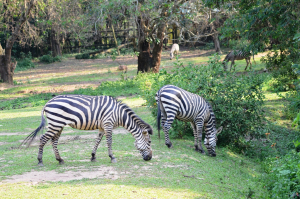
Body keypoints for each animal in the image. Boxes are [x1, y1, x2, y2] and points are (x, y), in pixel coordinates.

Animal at [19, 94, 154, 165]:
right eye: (149, 142)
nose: (150, 158)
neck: (119, 114)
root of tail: (48, 102)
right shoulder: (108, 124)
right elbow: (109, 142)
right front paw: (112, 157)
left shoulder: (102, 127)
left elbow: (98, 141)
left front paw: (93, 156)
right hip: (55, 124)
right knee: (43, 139)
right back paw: (40, 160)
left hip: (58, 125)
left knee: (53, 141)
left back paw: (60, 159)